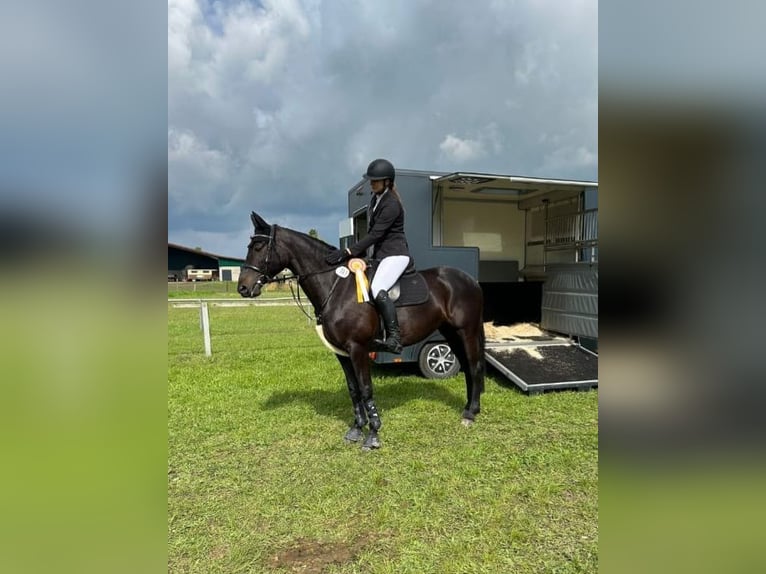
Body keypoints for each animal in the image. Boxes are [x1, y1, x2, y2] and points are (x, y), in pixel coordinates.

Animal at [238, 212, 486, 450]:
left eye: (258, 247)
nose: (243, 288)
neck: (336, 287)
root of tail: (470, 280)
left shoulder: (357, 349)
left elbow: (366, 389)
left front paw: (373, 434)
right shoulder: (342, 352)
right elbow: (353, 390)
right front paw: (356, 429)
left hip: (467, 331)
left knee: (474, 367)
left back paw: (470, 414)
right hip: (450, 333)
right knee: (466, 366)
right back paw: (468, 408)